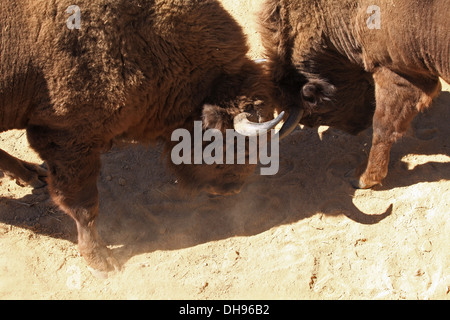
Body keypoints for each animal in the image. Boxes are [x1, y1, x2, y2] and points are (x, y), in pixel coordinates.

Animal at [0, 0, 290, 272]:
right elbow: (84, 205)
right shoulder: (66, 138)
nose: (232, 189)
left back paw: (31, 174)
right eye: (239, 147)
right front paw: (102, 262)